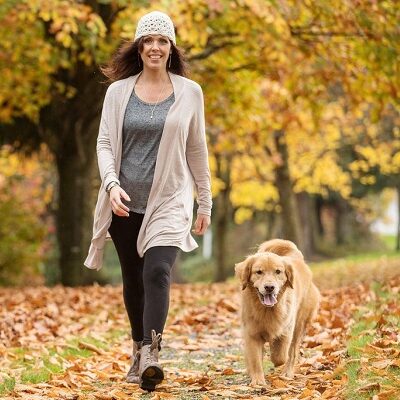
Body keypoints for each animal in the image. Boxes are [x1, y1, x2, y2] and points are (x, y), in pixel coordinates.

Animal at [234, 239, 318, 386]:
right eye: (259, 272)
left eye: (278, 271)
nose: (269, 287)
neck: (267, 310)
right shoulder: (252, 333)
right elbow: (255, 359)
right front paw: (258, 381)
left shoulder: (286, 331)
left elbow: (280, 356)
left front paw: (274, 352)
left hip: (299, 324)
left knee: (292, 352)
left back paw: (287, 373)